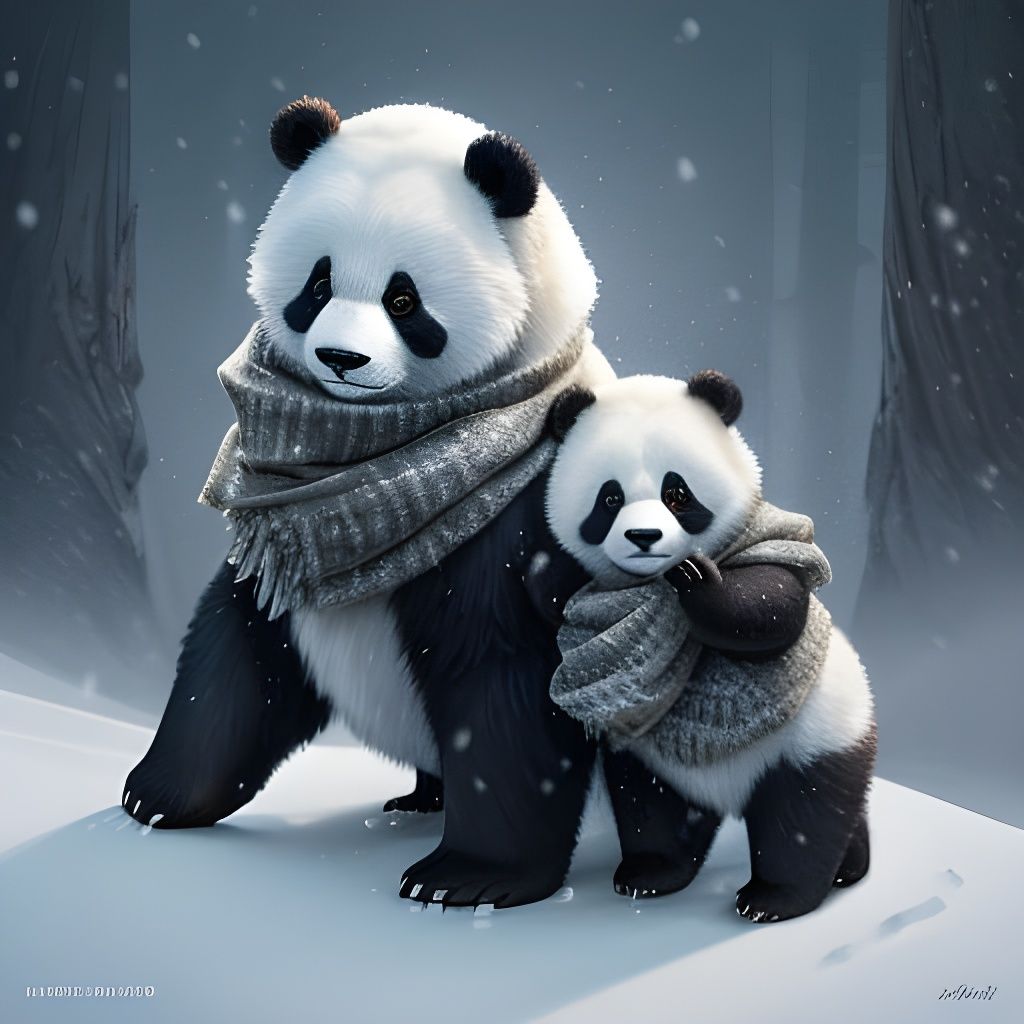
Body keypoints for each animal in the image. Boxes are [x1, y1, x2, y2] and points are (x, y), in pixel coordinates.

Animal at [123, 98, 614, 910]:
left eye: (403, 298)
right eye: (317, 285)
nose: (341, 360)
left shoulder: (514, 518)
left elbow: (500, 678)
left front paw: (468, 878)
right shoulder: (277, 534)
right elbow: (239, 640)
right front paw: (156, 795)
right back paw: (422, 796)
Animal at [544, 372, 877, 922]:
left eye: (676, 493)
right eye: (609, 499)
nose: (643, 536)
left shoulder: (776, 555)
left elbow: (771, 611)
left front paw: (695, 579)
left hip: (813, 735)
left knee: (803, 814)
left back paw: (779, 896)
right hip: (656, 761)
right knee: (652, 806)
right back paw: (653, 873)